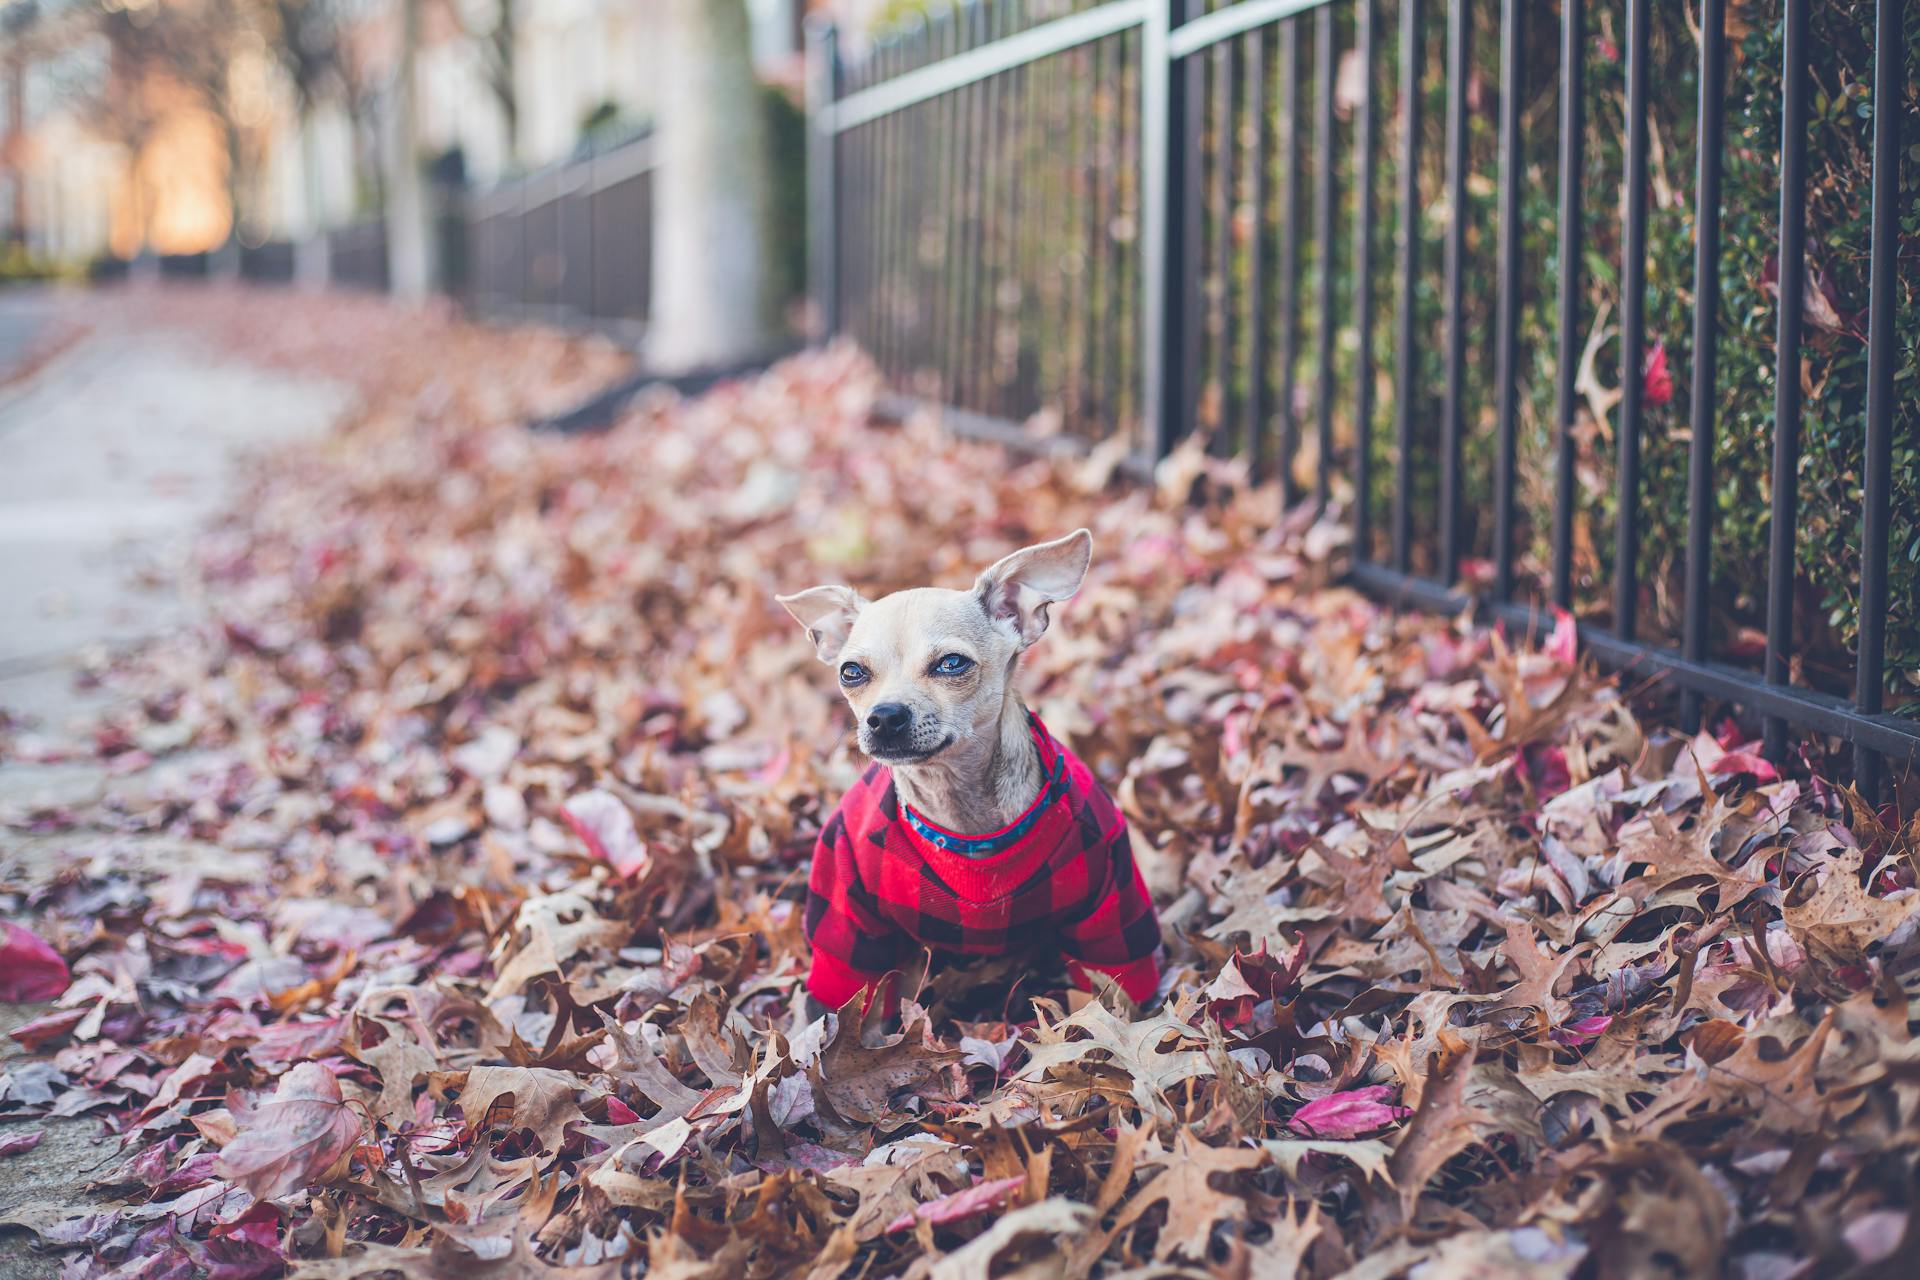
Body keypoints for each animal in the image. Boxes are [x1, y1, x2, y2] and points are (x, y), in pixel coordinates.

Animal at [775, 525, 1152, 1013]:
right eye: (851, 672)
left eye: (951, 663)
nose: (884, 716)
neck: (959, 810)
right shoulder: (847, 921)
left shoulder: (1109, 906)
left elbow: (1109, 987)